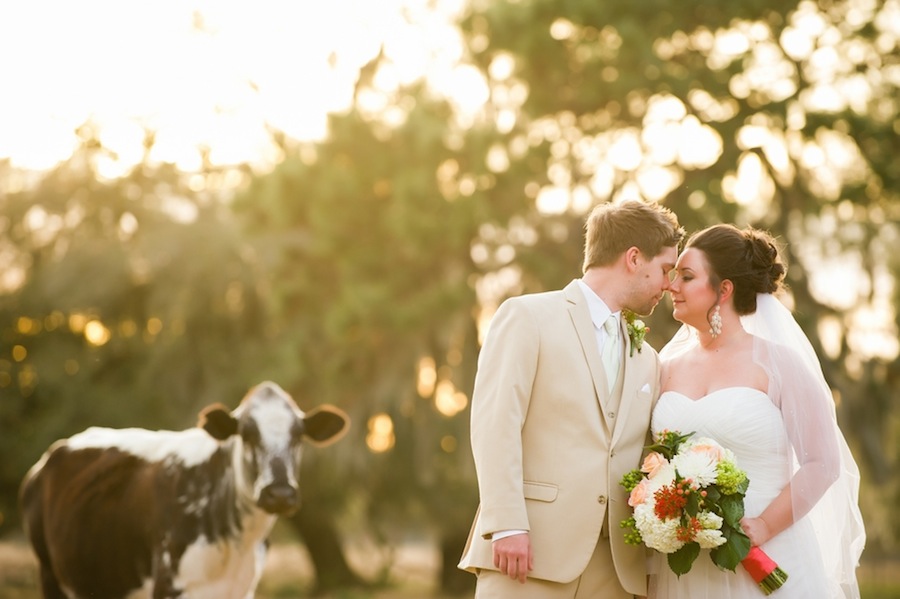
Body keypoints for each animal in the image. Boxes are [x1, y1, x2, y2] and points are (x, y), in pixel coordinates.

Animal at [18, 382, 348, 596]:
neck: (236, 545)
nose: (279, 494)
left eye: (298, 436)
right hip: (49, 574)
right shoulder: (167, 583)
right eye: (246, 434)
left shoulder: (244, 589)